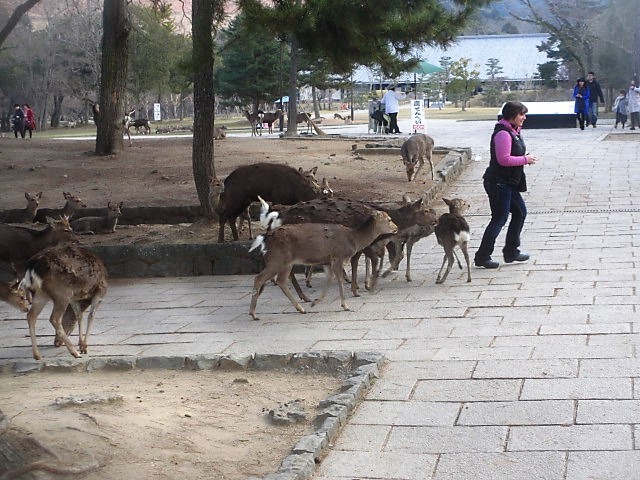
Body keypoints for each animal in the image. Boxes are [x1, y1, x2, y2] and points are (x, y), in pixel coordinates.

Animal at [248, 209, 398, 318]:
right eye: (389, 219)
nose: (396, 228)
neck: (354, 240)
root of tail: (266, 237)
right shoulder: (338, 256)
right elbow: (339, 279)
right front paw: (346, 305)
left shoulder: (327, 260)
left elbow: (330, 278)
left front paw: (316, 302)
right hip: (279, 260)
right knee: (261, 278)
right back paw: (254, 313)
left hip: (282, 262)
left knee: (279, 280)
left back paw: (300, 307)